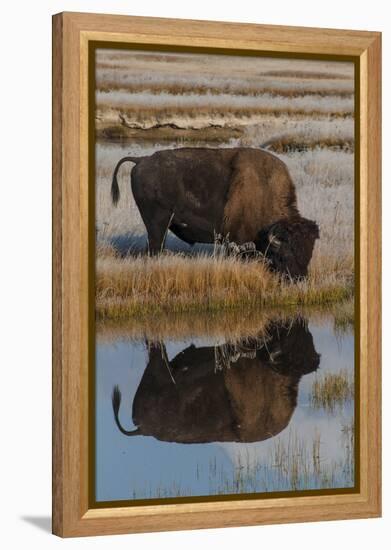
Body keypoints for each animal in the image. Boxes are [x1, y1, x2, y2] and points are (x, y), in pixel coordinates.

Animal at [112, 148, 320, 280]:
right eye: (286, 254)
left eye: (309, 253)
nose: (299, 279)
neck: (264, 190)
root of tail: (141, 160)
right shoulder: (237, 243)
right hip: (157, 224)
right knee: (155, 246)